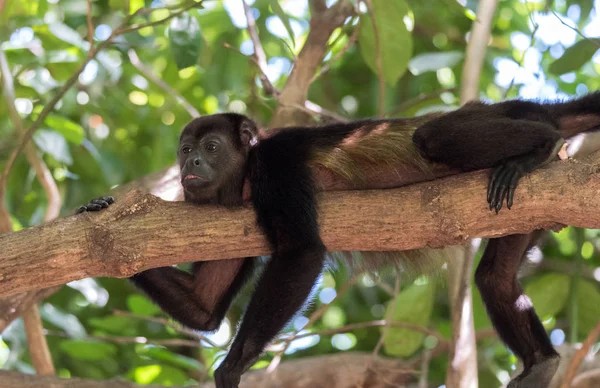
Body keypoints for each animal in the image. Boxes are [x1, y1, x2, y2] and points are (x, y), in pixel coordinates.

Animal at [77, 93, 600, 388]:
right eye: (185, 150)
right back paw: (541, 364)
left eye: (211, 147)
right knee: (495, 277)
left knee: (434, 135)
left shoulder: (276, 164)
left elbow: (303, 252)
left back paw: (540, 144)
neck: (242, 180)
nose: (193, 166)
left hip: (495, 123)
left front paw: (233, 366)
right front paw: (98, 209)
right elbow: (202, 309)